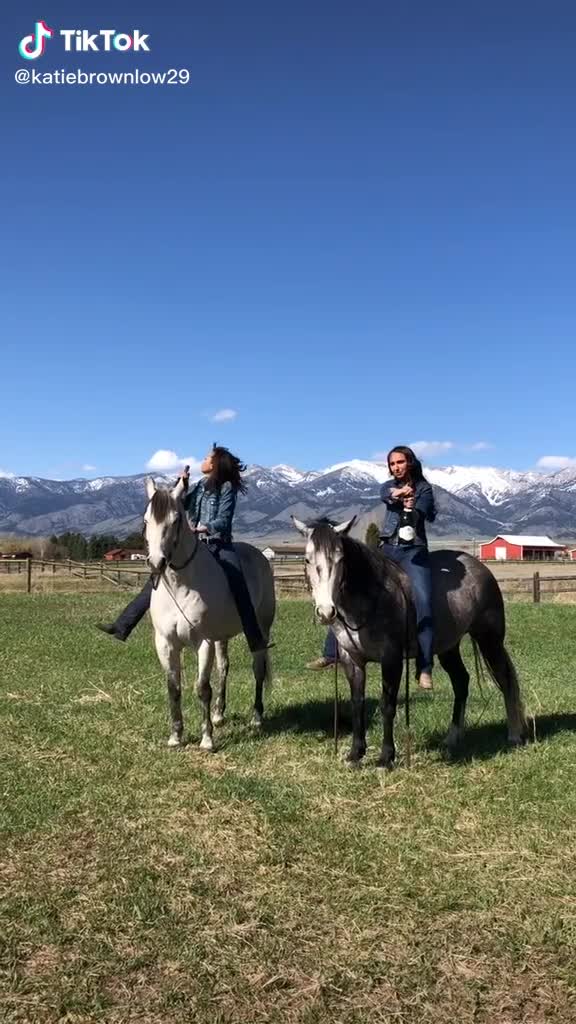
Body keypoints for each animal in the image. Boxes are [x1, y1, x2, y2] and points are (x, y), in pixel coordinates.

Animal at [145, 475, 276, 749]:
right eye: (146, 520)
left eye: (176, 520)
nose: (156, 563)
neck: (181, 586)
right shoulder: (165, 643)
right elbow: (174, 688)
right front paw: (176, 736)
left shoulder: (203, 642)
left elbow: (202, 688)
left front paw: (206, 739)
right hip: (221, 637)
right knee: (224, 667)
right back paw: (218, 714)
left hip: (260, 629)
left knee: (258, 668)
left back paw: (256, 717)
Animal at [291, 520, 524, 770]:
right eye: (307, 559)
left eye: (340, 558)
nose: (326, 612)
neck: (370, 597)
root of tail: (481, 569)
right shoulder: (351, 659)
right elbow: (357, 704)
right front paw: (355, 754)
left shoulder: (391, 658)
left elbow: (387, 705)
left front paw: (385, 758)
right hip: (448, 647)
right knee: (461, 681)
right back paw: (452, 737)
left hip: (489, 639)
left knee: (505, 679)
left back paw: (514, 735)